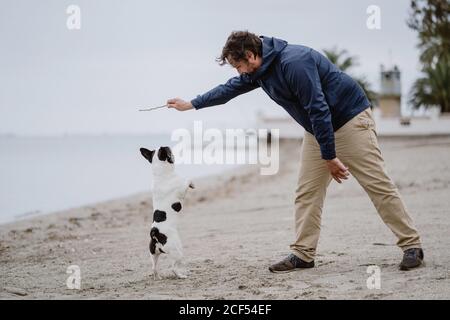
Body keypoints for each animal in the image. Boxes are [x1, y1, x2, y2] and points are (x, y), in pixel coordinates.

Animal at [140, 146, 194, 278]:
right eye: (168, 151)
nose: (169, 147)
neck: (161, 173)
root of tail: (155, 233)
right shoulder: (181, 188)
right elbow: (187, 179)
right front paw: (192, 184)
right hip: (178, 250)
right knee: (173, 268)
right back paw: (181, 275)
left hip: (153, 253)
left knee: (154, 268)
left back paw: (158, 277)